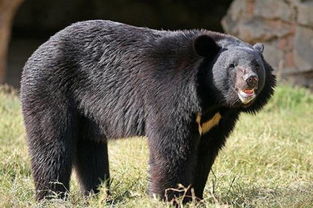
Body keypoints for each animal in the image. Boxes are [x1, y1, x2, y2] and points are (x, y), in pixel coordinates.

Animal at [20, 20, 272, 202]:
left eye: (256, 65)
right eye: (232, 66)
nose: (250, 80)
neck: (212, 99)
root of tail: (37, 51)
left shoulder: (220, 118)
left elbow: (206, 151)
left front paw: (194, 197)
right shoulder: (171, 94)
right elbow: (172, 147)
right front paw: (169, 197)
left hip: (86, 111)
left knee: (90, 149)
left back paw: (99, 196)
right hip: (51, 89)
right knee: (52, 143)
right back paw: (51, 197)